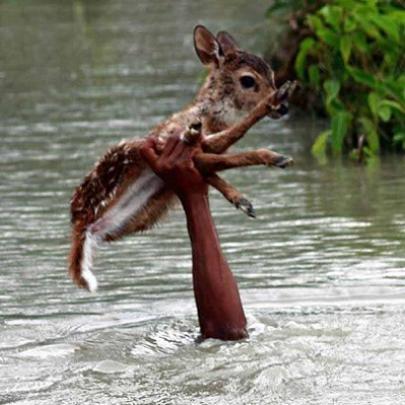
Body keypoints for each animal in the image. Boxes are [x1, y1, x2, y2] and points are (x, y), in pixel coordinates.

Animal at [69, 24, 296, 290]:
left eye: (272, 73)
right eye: (248, 80)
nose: (283, 108)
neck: (211, 117)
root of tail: (82, 225)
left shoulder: (196, 154)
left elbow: (214, 168)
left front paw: (241, 200)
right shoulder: (178, 143)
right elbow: (223, 151)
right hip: (131, 152)